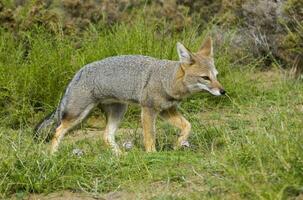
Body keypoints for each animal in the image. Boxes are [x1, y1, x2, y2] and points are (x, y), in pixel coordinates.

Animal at [35, 37, 226, 155]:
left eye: (216, 76)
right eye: (205, 78)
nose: (223, 91)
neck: (167, 79)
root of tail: (78, 72)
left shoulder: (167, 110)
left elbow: (188, 126)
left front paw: (178, 144)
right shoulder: (148, 110)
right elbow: (150, 136)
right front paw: (152, 155)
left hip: (119, 111)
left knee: (106, 136)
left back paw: (120, 155)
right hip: (78, 115)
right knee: (58, 131)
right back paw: (52, 156)